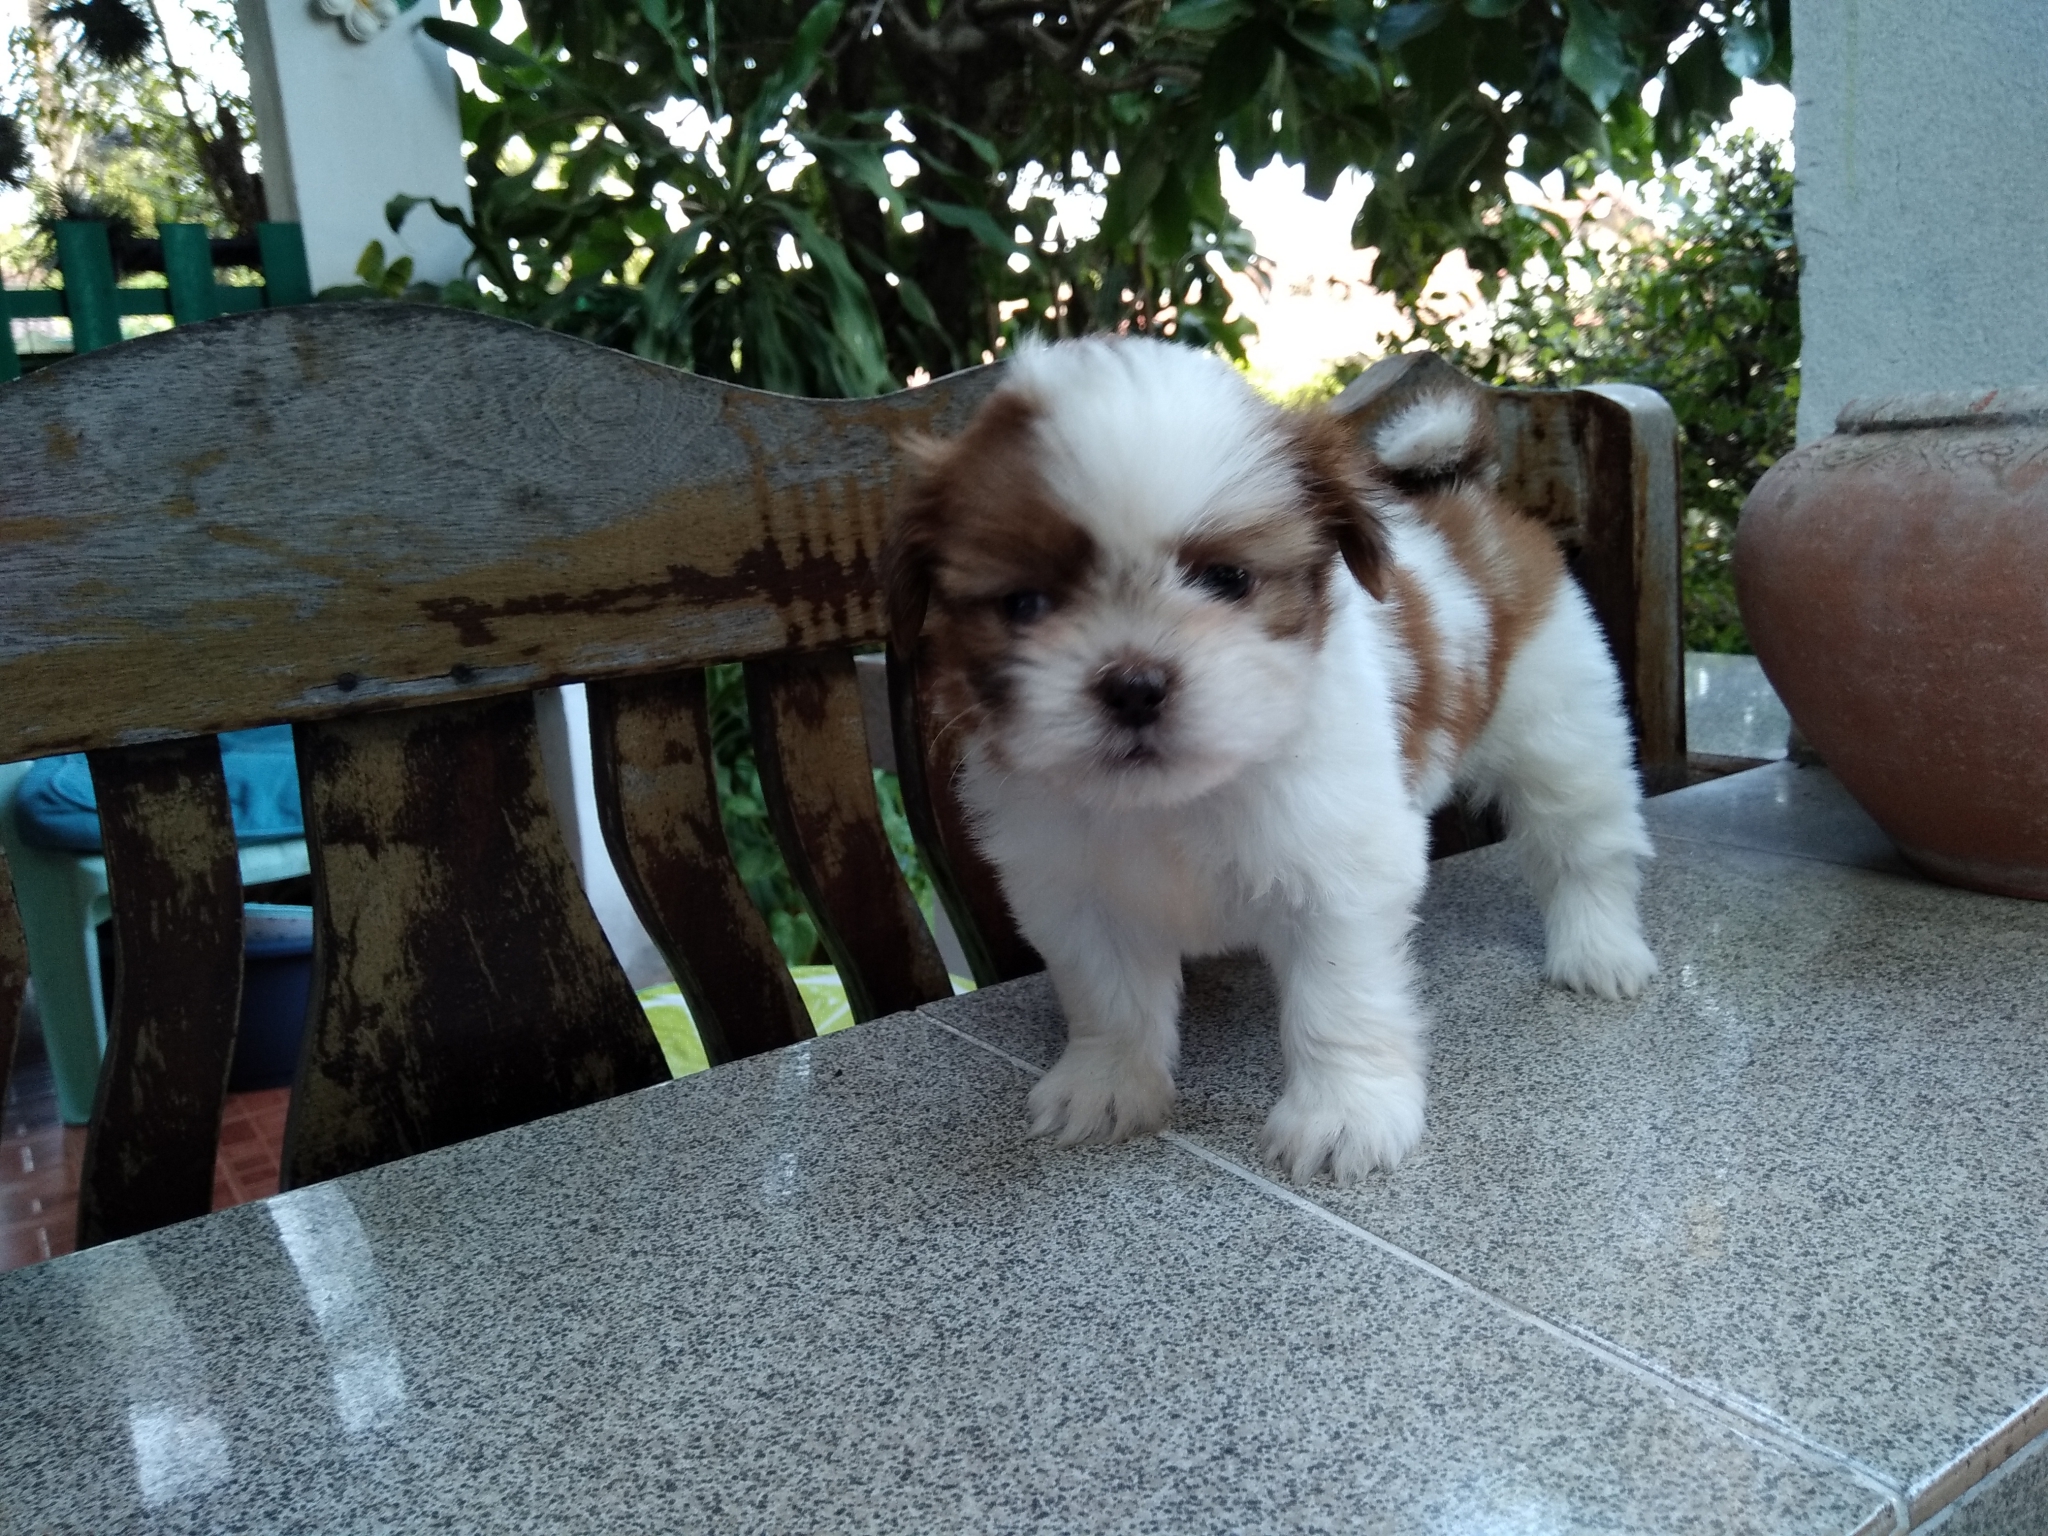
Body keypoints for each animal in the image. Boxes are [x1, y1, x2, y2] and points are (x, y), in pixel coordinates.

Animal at [883, 336, 1656, 1184]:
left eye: (1227, 579)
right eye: (1024, 604)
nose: (1134, 684)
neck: (1178, 798)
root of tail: (1470, 500)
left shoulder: (1340, 873)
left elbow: (1339, 1000)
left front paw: (1344, 1115)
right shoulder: (1074, 889)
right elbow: (1108, 996)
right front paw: (1110, 1083)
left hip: (1561, 725)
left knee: (1581, 844)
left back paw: (1599, 948)